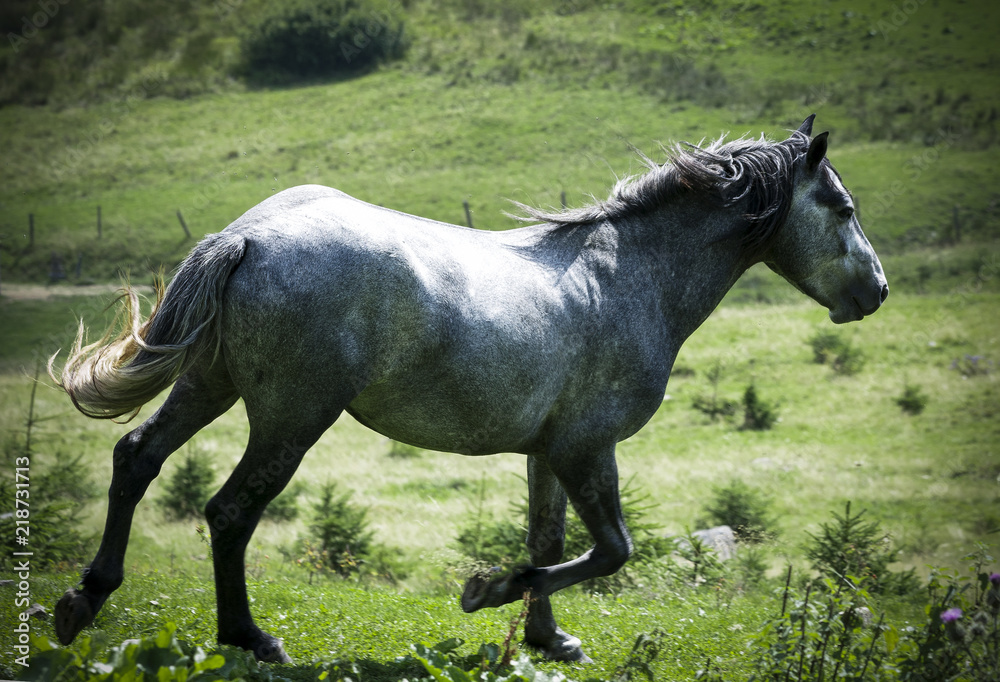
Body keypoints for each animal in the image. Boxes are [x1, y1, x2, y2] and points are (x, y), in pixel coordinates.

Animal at [49, 115, 887, 664]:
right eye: (843, 208)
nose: (876, 291)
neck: (628, 278)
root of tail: (245, 237)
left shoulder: (549, 451)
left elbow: (551, 540)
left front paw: (549, 639)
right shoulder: (589, 447)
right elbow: (611, 550)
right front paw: (487, 591)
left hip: (210, 383)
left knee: (136, 458)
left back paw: (83, 602)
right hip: (291, 418)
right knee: (229, 513)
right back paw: (249, 639)